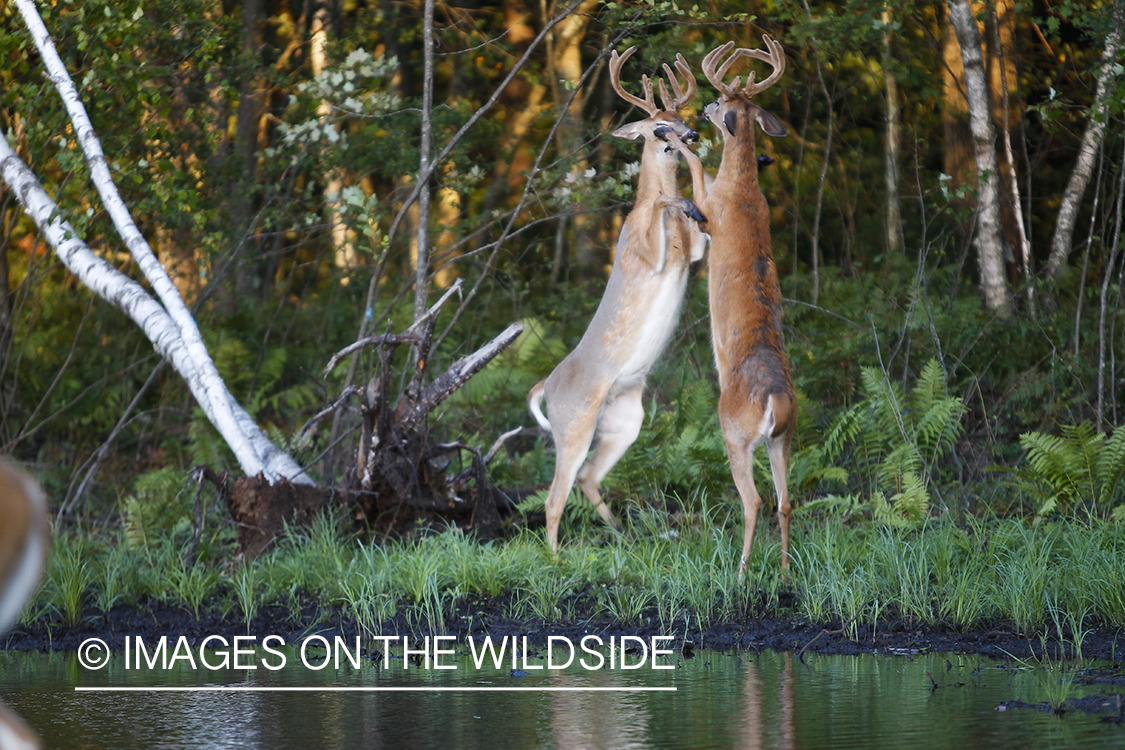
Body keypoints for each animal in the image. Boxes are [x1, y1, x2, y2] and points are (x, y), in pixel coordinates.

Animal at [528, 46, 706, 550]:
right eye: (658, 126)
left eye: (682, 114)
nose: (693, 134)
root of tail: (545, 386)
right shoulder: (646, 257)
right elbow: (662, 207)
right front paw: (683, 204)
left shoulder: (693, 257)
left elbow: (697, 233)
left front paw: (694, 206)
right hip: (574, 424)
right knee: (554, 496)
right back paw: (556, 559)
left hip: (625, 421)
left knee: (588, 479)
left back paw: (626, 535)